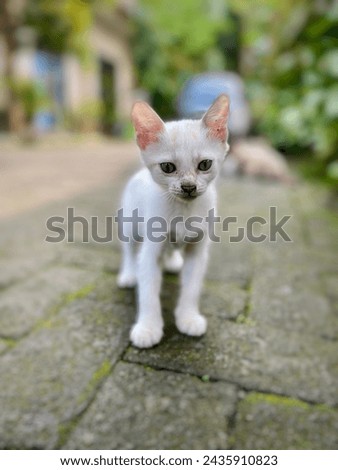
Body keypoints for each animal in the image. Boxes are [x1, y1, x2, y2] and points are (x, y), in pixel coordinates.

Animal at [117, 93, 230, 346]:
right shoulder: (150, 251)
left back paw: (171, 261)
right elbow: (148, 290)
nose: (188, 187)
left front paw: (188, 317)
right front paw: (148, 327)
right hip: (130, 226)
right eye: (168, 167)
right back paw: (129, 274)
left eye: (205, 164)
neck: (183, 212)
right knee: (129, 250)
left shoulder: (198, 250)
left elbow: (192, 287)